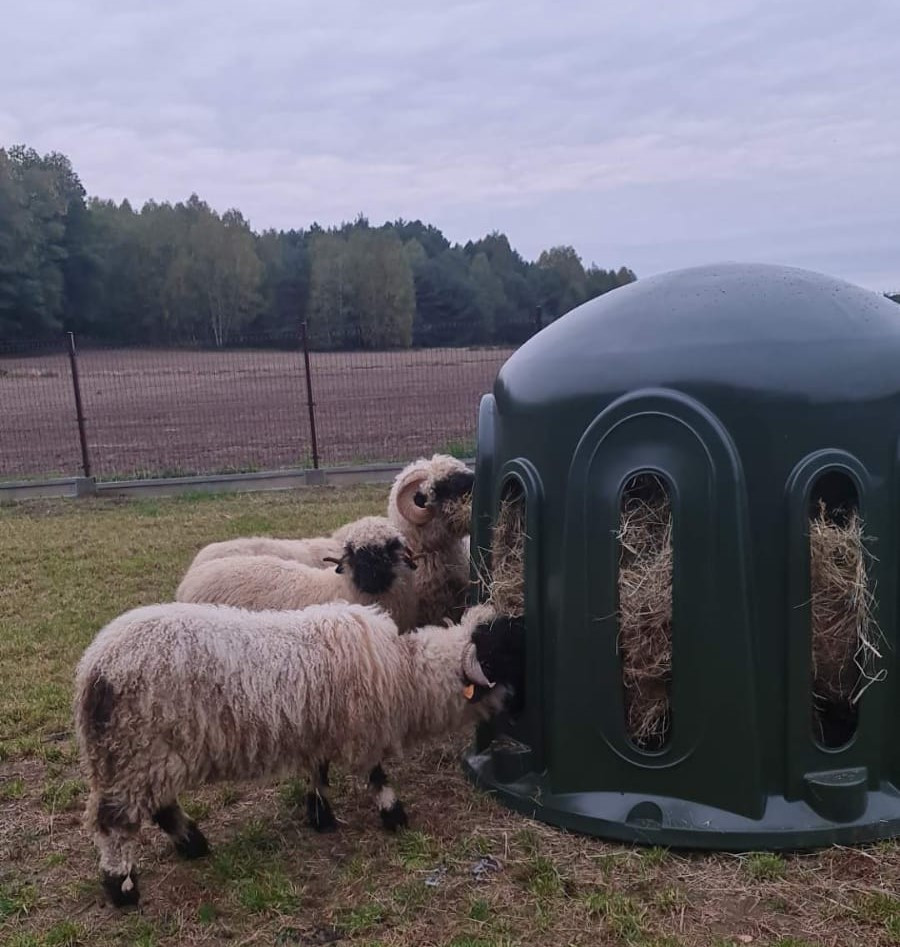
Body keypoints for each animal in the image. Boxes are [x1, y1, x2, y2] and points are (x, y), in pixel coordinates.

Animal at [73, 600, 524, 907]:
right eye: (498, 651)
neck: (405, 671)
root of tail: (95, 670)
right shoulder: (363, 728)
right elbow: (376, 774)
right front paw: (393, 815)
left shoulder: (318, 728)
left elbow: (317, 772)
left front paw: (320, 816)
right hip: (137, 750)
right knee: (115, 823)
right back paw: (122, 887)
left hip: (140, 755)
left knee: (158, 806)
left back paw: (193, 843)